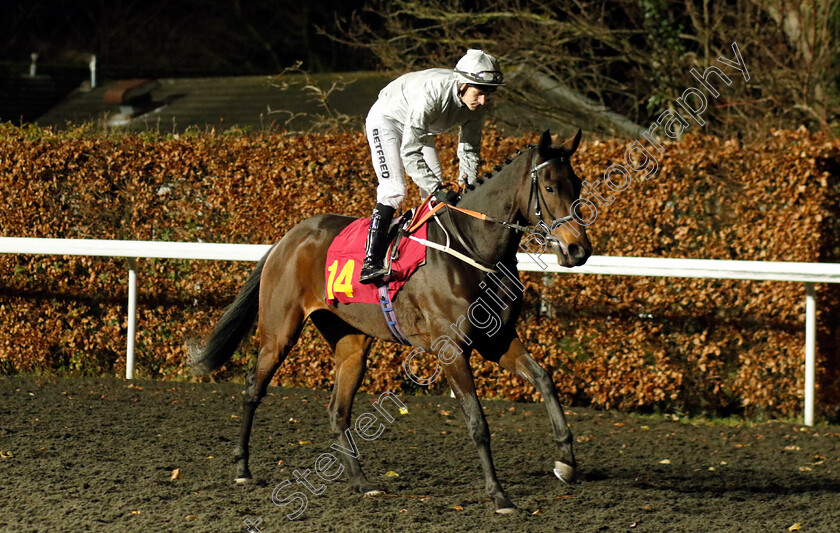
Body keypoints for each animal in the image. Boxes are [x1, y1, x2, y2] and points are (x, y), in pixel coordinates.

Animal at [193, 128, 592, 512]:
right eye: (550, 187)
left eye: (578, 184)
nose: (579, 250)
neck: (472, 250)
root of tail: (287, 238)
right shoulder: (452, 349)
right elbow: (477, 421)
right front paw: (499, 495)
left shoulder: (497, 340)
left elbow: (544, 378)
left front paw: (566, 461)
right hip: (279, 332)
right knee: (253, 389)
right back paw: (243, 468)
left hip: (351, 344)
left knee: (338, 411)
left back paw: (362, 483)